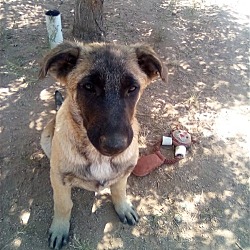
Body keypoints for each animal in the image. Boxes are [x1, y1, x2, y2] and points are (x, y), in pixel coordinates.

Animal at [39, 42, 167, 249]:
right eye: (88, 87)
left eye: (132, 88)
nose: (115, 146)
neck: (98, 157)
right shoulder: (59, 179)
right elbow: (63, 204)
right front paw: (60, 228)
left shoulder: (124, 172)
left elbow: (119, 190)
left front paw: (122, 207)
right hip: (45, 138)